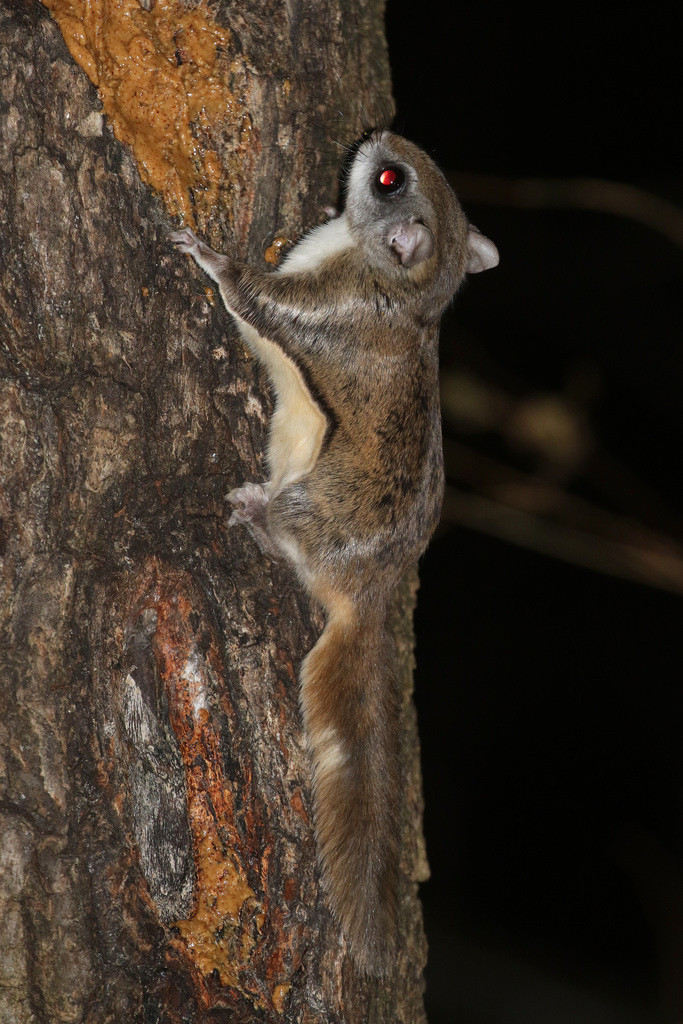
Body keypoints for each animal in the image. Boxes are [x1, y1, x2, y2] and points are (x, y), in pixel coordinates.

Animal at [169, 130, 501, 974]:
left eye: (387, 180)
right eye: (405, 167)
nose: (381, 135)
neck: (398, 286)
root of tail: (370, 589)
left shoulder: (323, 312)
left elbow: (252, 300)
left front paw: (207, 254)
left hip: (313, 503)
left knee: (290, 538)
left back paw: (255, 516)